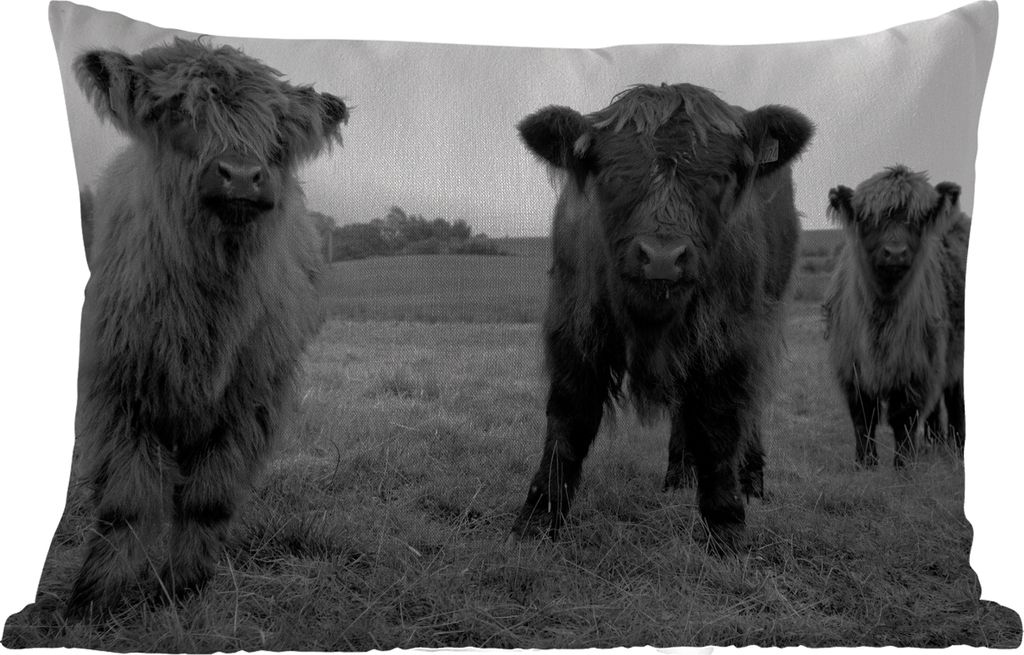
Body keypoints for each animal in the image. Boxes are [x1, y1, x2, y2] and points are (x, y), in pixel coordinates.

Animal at [64, 38, 348, 618]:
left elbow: (208, 498)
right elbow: (126, 503)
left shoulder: (248, 403)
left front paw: (183, 589)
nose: (240, 174)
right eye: (178, 113)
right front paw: (96, 601)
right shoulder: (116, 394)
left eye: (278, 134)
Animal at [509, 83, 813, 552]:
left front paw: (725, 526)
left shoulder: (731, 339)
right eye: (613, 175)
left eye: (719, 177)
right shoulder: (574, 324)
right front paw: (538, 517)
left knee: (749, 406)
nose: (663, 258)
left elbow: (720, 425)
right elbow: (568, 419)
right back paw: (679, 473)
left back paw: (751, 479)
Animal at [824, 165, 969, 468]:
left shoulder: (914, 368)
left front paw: (903, 465)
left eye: (918, 219)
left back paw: (958, 447)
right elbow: (863, 418)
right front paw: (865, 465)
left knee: (954, 397)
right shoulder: (851, 366)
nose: (895, 253)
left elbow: (904, 418)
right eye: (869, 219)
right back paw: (935, 445)